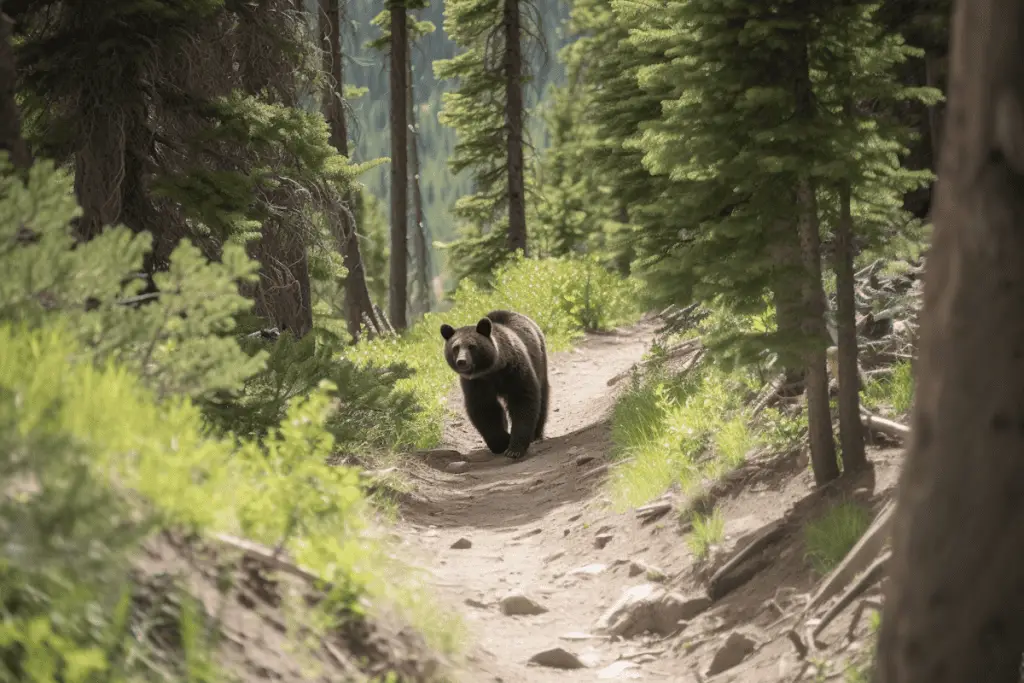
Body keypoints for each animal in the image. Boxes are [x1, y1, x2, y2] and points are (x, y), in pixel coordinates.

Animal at [440, 309, 552, 458]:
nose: (462, 361)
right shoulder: (476, 382)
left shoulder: (515, 371)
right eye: (455, 347)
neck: (492, 370)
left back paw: (536, 434)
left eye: (472, 346)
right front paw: (502, 442)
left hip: (540, 360)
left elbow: (523, 400)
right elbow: (485, 409)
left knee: (542, 396)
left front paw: (514, 448)